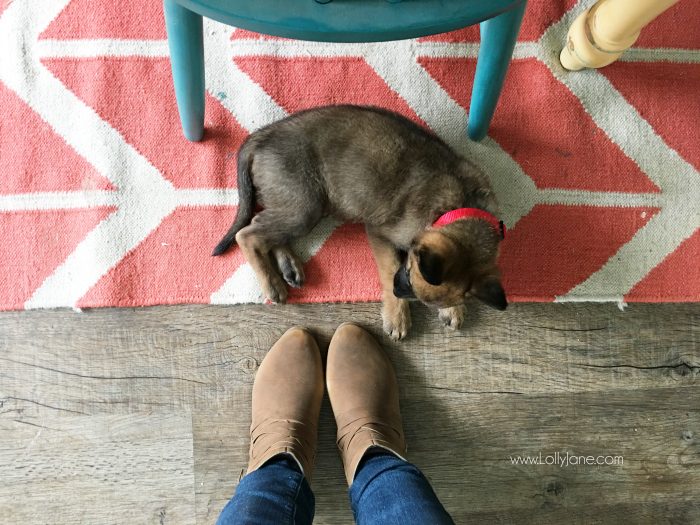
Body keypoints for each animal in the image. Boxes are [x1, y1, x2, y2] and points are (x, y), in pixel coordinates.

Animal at [211, 104, 506, 340]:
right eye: (409, 276)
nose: (399, 290)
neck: (459, 202)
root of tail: (262, 135)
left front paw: (454, 308)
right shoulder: (380, 234)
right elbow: (390, 268)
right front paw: (397, 316)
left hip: (296, 204)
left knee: (264, 226)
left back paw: (288, 268)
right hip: (305, 204)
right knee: (249, 234)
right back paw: (272, 283)